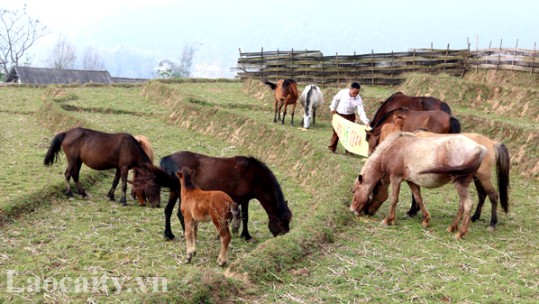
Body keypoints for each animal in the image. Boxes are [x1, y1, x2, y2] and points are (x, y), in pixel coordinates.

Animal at [133, 151, 294, 241]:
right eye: (281, 222)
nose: (285, 236)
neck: (253, 176)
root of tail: (169, 157)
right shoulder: (239, 200)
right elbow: (238, 218)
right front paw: (240, 235)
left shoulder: (242, 200)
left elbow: (241, 218)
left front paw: (242, 235)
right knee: (179, 214)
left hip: (174, 192)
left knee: (168, 211)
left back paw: (169, 234)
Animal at [350, 131, 490, 240]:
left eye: (354, 190)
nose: (352, 210)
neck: (394, 148)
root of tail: (480, 149)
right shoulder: (411, 181)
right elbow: (418, 198)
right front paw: (426, 220)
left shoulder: (396, 178)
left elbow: (394, 199)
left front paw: (387, 220)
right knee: (462, 204)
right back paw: (452, 227)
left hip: (460, 184)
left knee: (467, 204)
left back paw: (460, 233)